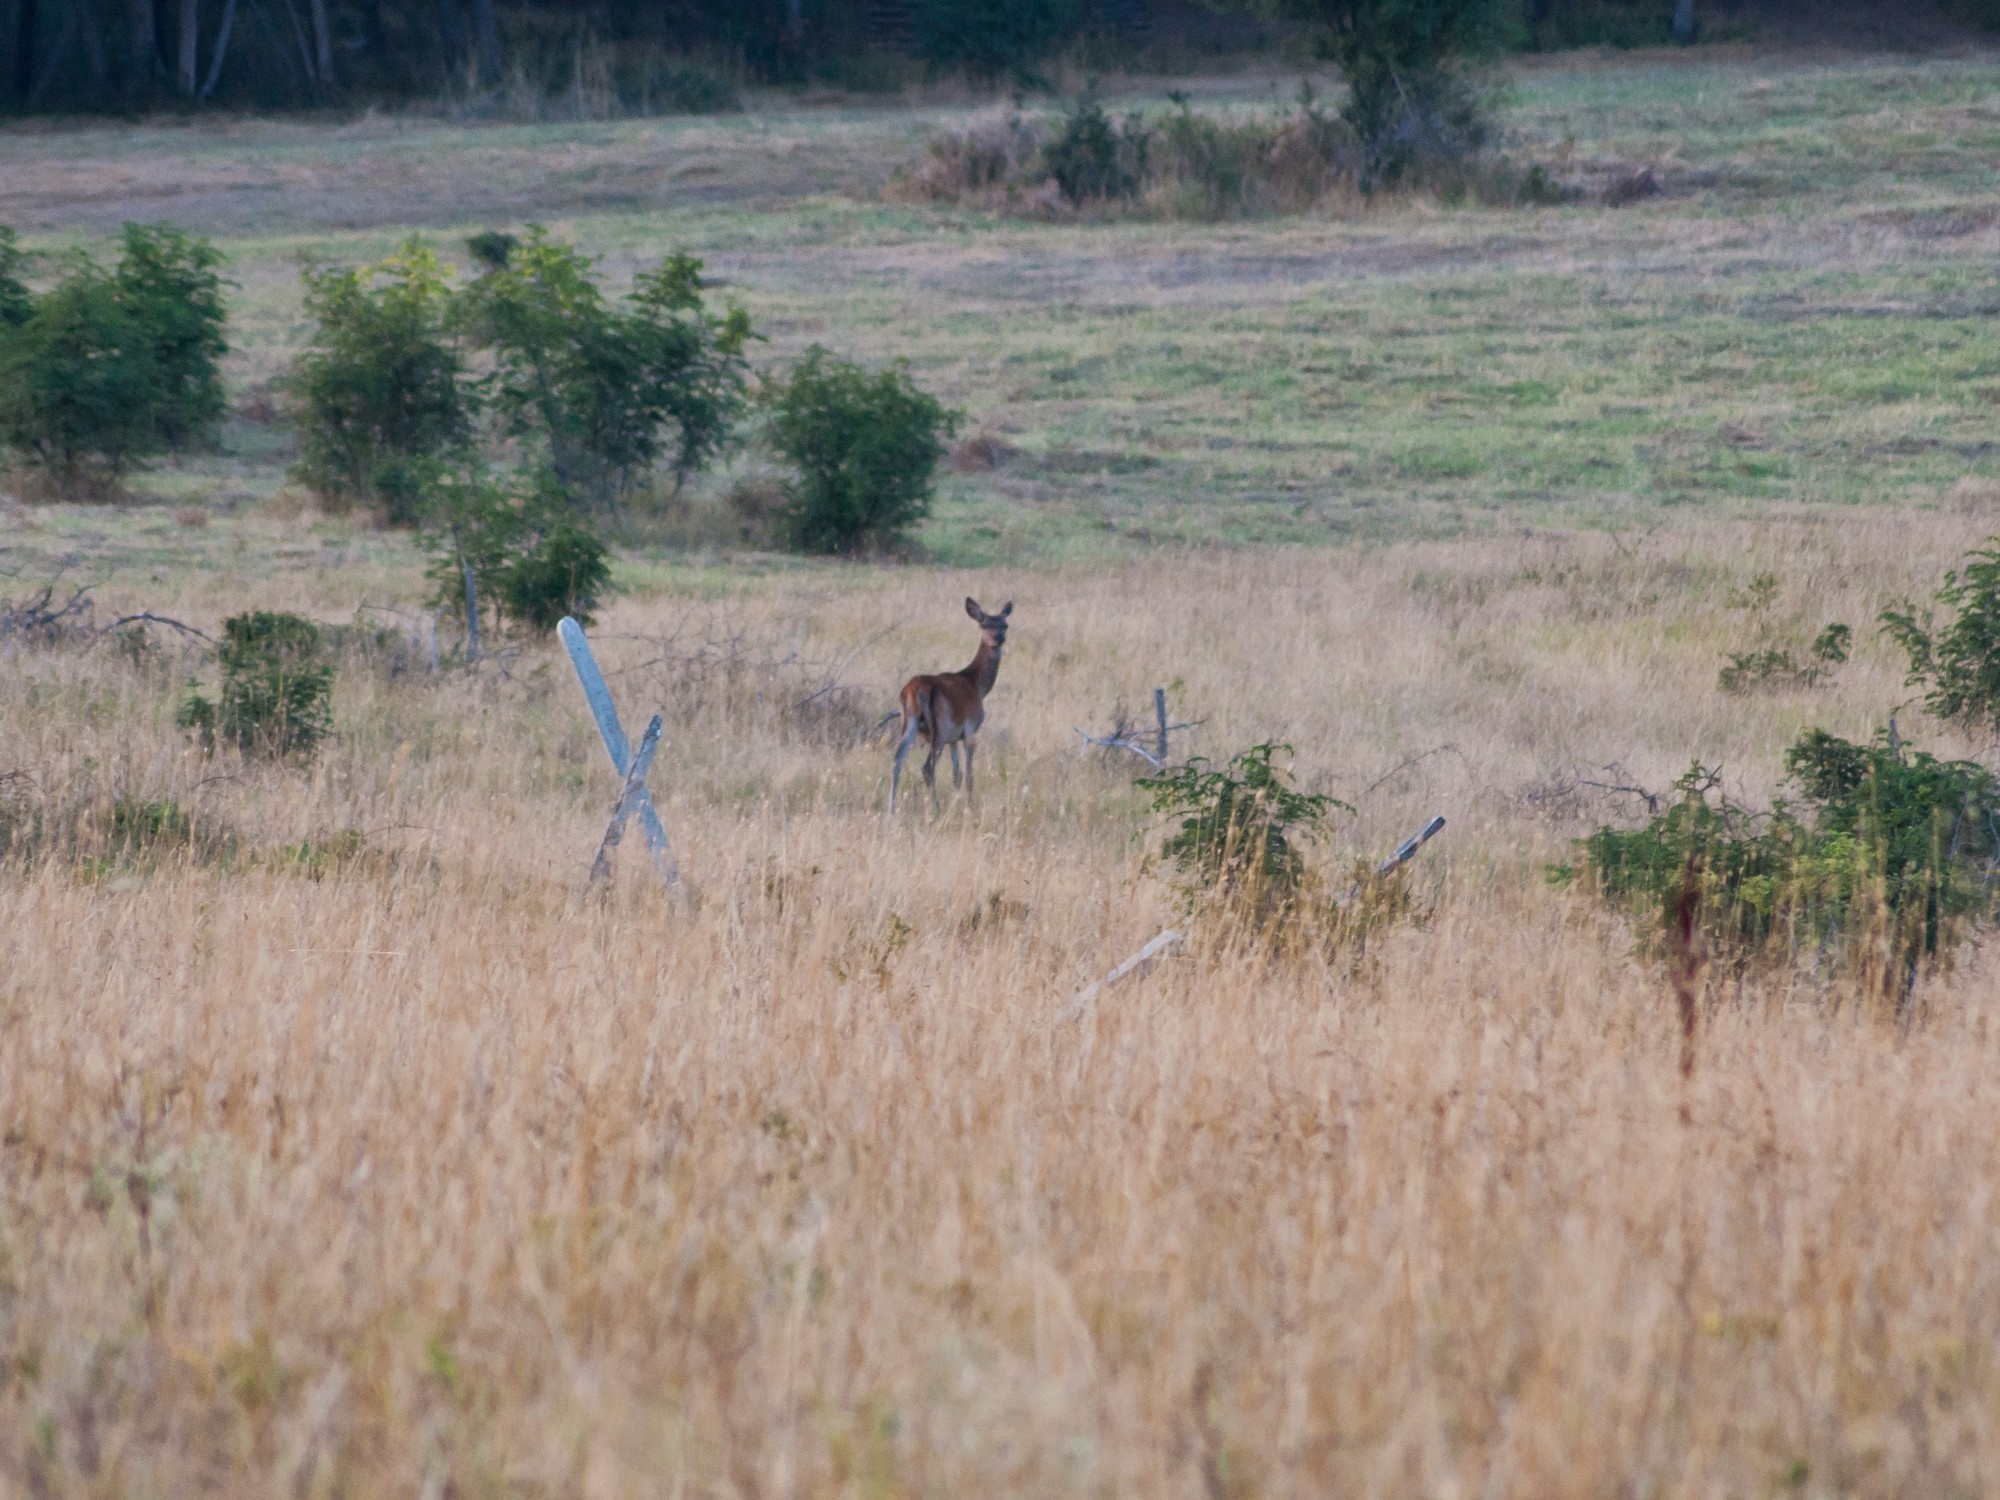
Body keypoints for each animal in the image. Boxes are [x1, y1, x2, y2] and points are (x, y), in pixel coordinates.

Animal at [892, 596, 1016, 816]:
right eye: (983, 624)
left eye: (1005, 624)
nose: (997, 638)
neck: (977, 684)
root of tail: (914, 690)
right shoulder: (969, 729)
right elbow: (968, 775)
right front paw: (969, 807)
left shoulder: (953, 738)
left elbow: (956, 774)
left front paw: (957, 804)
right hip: (939, 731)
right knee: (927, 768)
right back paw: (936, 808)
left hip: (910, 724)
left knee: (897, 760)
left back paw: (891, 809)